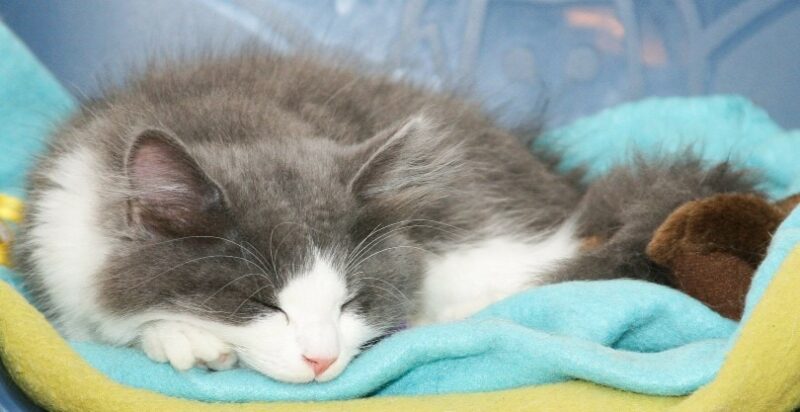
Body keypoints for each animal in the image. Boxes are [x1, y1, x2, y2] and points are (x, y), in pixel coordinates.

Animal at [12, 50, 760, 384]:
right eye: (261, 303)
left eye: (351, 301)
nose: (321, 359)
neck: (237, 125)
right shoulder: (59, 237)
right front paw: (182, 337)